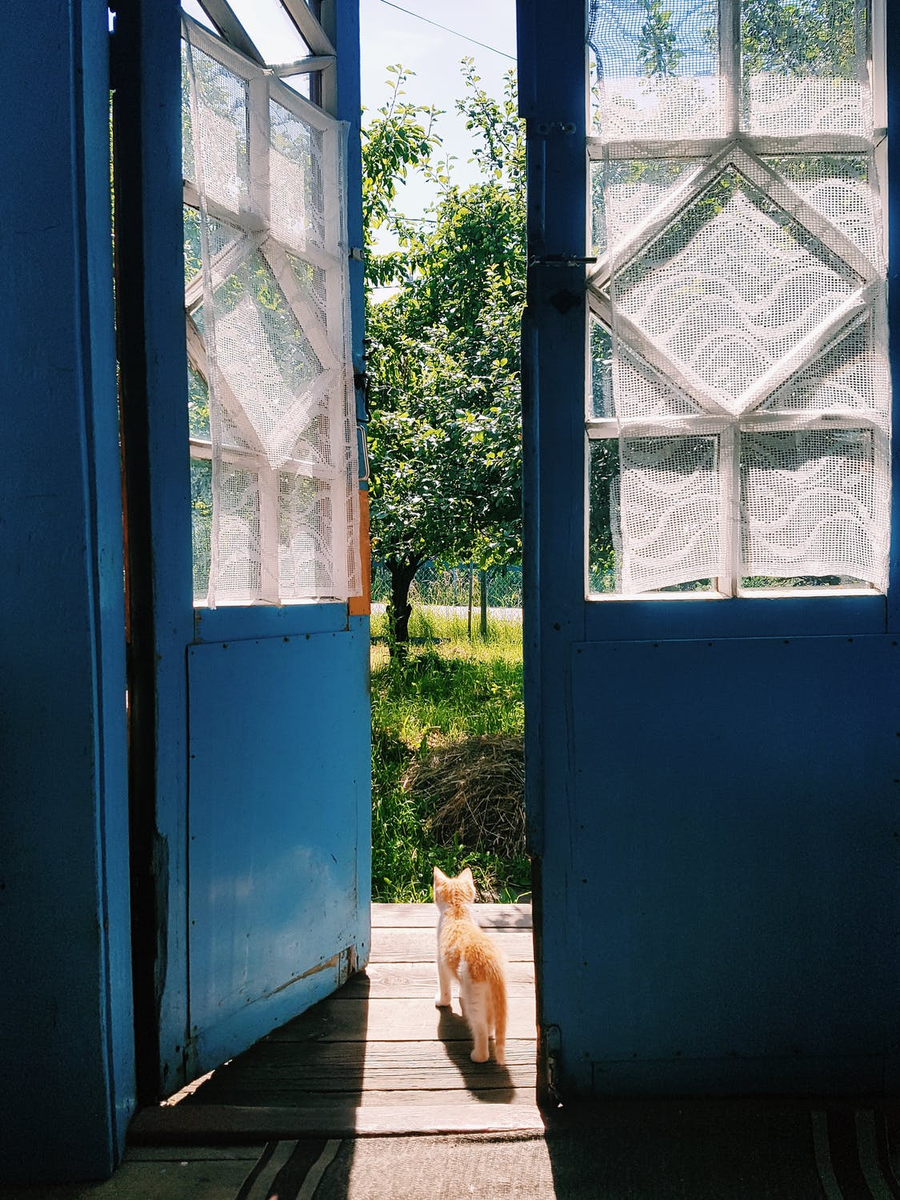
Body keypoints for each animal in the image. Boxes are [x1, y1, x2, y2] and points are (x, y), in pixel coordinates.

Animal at [433, 865, 508, 1065]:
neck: (457, 911)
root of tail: (491, 961)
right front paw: (459, 992)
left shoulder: (441, 963)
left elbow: (445, 988)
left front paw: (442, 1001)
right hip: (491, 997)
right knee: (491, 1021)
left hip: (475, 998)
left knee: (480, 1027)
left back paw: (478, 1055)